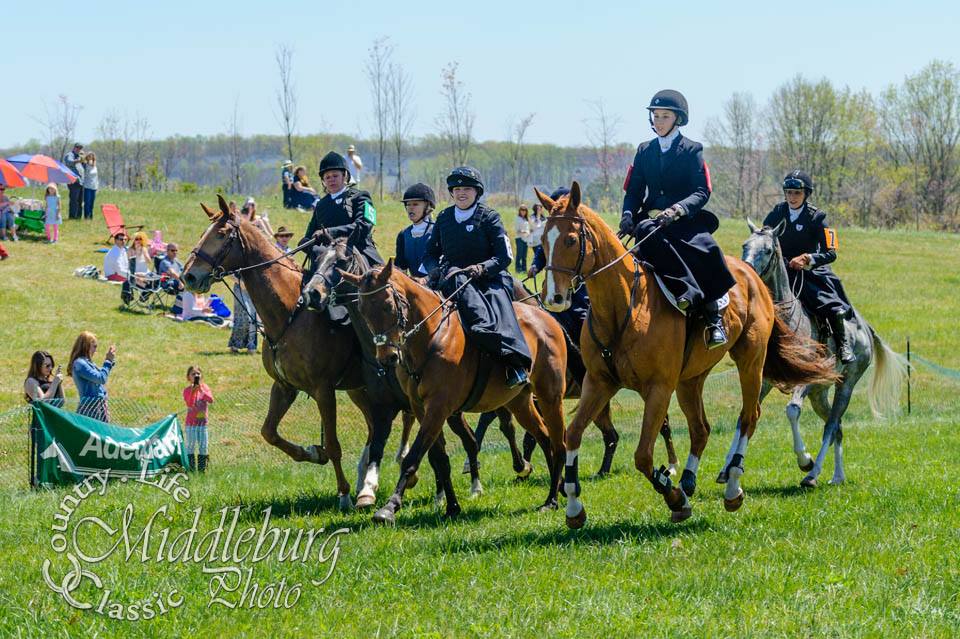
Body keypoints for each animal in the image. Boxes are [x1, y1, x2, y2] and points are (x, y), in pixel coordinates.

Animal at [186, 195, 456, 510]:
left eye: (221, 234)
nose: (189, 276)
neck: (291, 313)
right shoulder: (285, 387)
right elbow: (270, 432)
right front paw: (313, 453)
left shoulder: (323, 390)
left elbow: (334, 445)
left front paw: (344, 495)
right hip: (359, 391)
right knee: (377, 427)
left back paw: (430, 491)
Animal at [336, 260, 568, 524]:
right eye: (362, 311)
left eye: (388, 305)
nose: (388, 358)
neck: (430, 338)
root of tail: (547, 318)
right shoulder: (422, 409)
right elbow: (439, 459)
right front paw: (452, 507)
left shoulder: (438, 408)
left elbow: (413, 457)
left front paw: (389, 507)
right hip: (519, 403)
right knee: (545, 438)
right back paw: (557, 488)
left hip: (551, 397)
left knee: (559, 443)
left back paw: (551, 500)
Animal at [536, 182, 836, 528]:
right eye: (543, 240)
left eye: (571, 240)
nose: (555, 298)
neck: (623, 305)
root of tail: (752, 276)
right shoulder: (599, 384)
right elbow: (572, 435)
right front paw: (574, 506)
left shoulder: (658, 389)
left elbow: (643, 456)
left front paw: (674, 496)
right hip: (690, 380)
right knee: (701, 429)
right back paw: (690, 480)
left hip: (750, 363)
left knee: (749, 417)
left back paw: (732, 486)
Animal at [736, 221, 908, 490]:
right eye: (745, 245)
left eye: (767, 250)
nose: (746, 274)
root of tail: (866, 328)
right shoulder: (764, 381)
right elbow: (746, 415)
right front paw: (728, 471)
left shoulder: (804, 381)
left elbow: (792, 411)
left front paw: (804, 460)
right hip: (819, 394)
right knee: (837, 427)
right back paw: (837, 476)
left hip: (844, 385)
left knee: (831, 425)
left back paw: (812, 473)